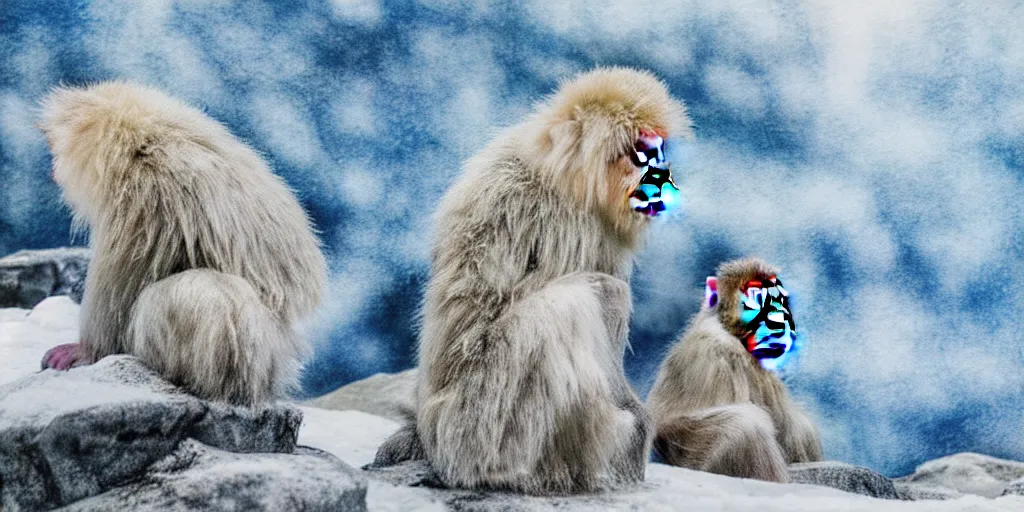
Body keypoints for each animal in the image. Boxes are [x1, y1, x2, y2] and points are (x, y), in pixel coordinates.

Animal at [37, 81, 325, 405]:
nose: (51, 167)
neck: (147, 137)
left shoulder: (140, 195)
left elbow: (120, 280)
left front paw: (86, 350)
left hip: (260, 359)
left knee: (196, 293)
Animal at [372, 66, 692, 493]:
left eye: (660, 151)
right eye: (641, 154)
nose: (661, 174)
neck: (560, 171)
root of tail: (431, 435)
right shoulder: (562, 219)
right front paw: (636, 427)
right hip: (475, 427)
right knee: (590, 298)